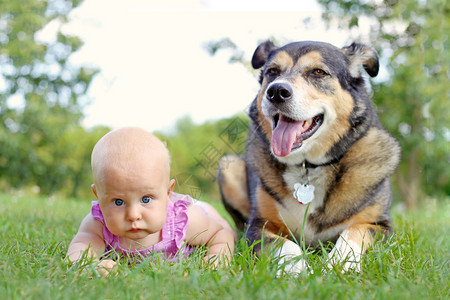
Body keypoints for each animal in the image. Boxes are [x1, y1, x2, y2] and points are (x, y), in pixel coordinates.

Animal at [218, 39, 400, 274]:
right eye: (272, 71)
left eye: (318, 72)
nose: (276, 92)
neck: (308, 166)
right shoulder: (258, 226)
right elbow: (284, 244)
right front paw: (299, 268)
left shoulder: (382, 226)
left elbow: (354, 231)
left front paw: (338, 263)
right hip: (228, 166)